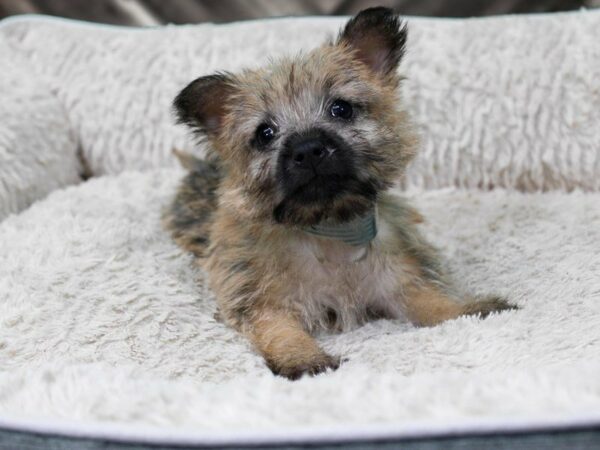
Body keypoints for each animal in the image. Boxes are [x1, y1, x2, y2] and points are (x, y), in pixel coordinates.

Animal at [164, 6, 516, 380]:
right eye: (264, 133)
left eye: (341, 109)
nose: (307, 149)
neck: (329, 227)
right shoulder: (262, 303)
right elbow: (280, 331)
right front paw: (303, 358)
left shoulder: (399, 280)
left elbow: (432, 302)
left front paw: (469, 309)